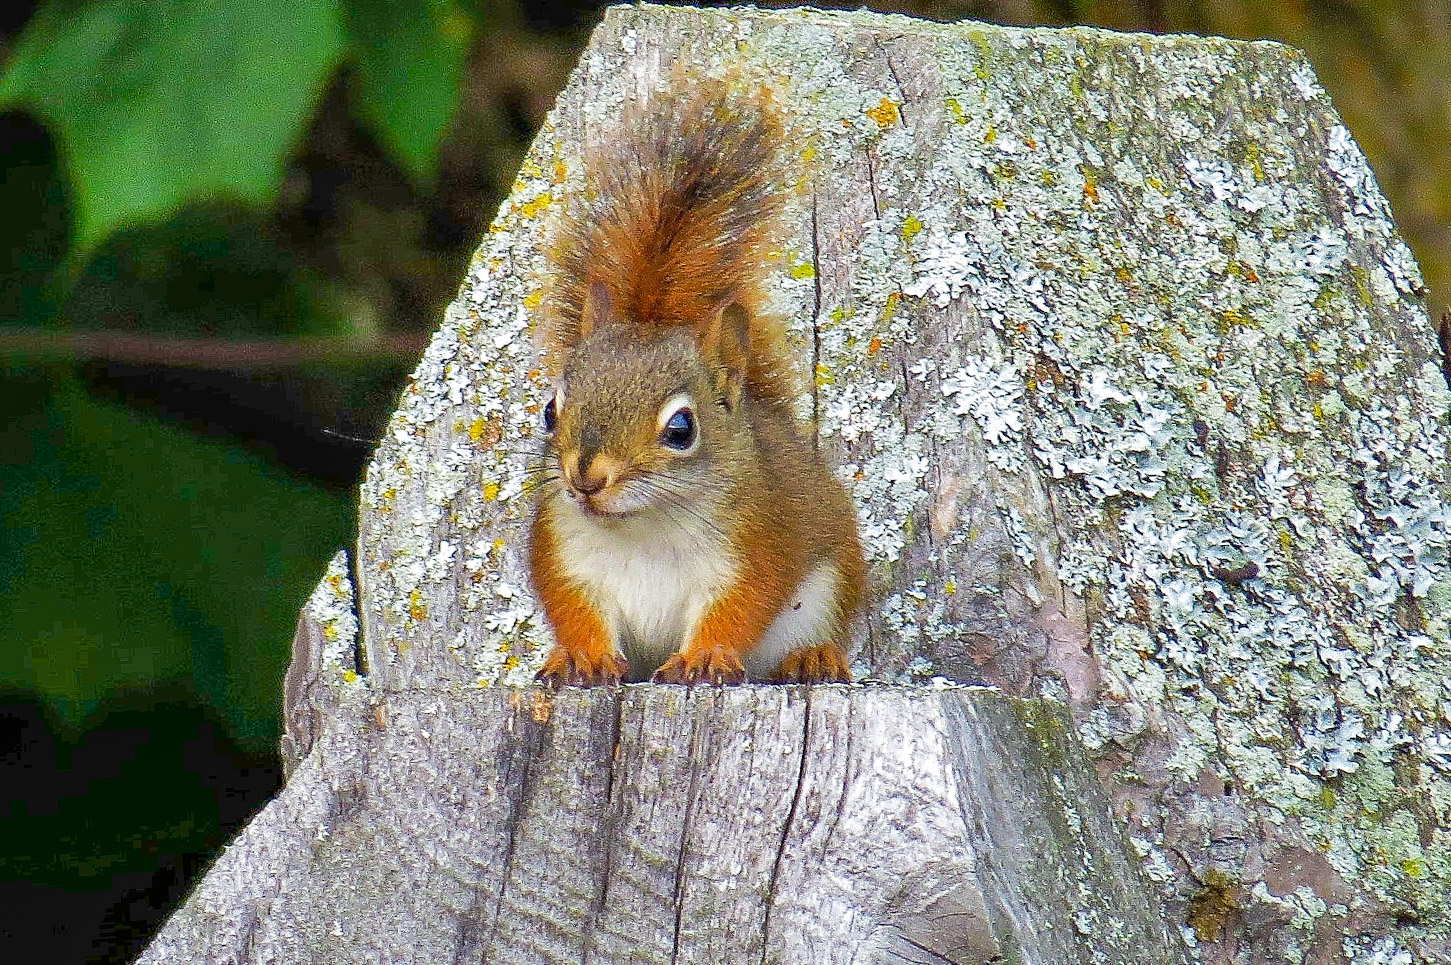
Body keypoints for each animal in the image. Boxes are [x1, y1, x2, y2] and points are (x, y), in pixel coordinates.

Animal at [528, 80, 858, 684]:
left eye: (681, 429)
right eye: (549, 411)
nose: (585, 479)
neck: (645, 526)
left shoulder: (756, 548)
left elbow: (738, 608)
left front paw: (704, 657)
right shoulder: (565, 557)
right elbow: (574, 610)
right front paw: (582, 656)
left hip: (826, 595)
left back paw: (812, 656)